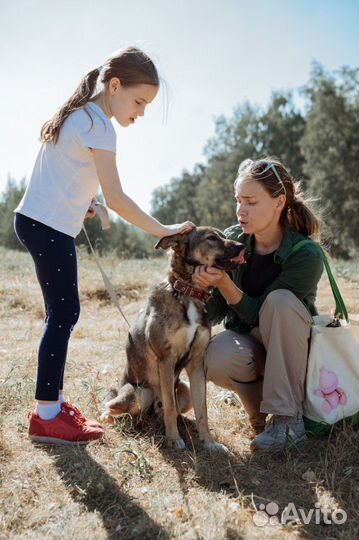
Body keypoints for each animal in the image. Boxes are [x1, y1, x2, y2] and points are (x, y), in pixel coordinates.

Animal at [101, 228, 245, 452]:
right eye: (211, 238)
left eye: (223, 234)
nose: (241, 246)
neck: (188, 292)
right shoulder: (166, 359)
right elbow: (169, 404)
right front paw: (174, 439)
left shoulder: (197, 362)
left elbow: (202, 409)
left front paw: (209, 442)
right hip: (138, 392)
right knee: (114, 408)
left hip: (184, 390)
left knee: (171, 410)